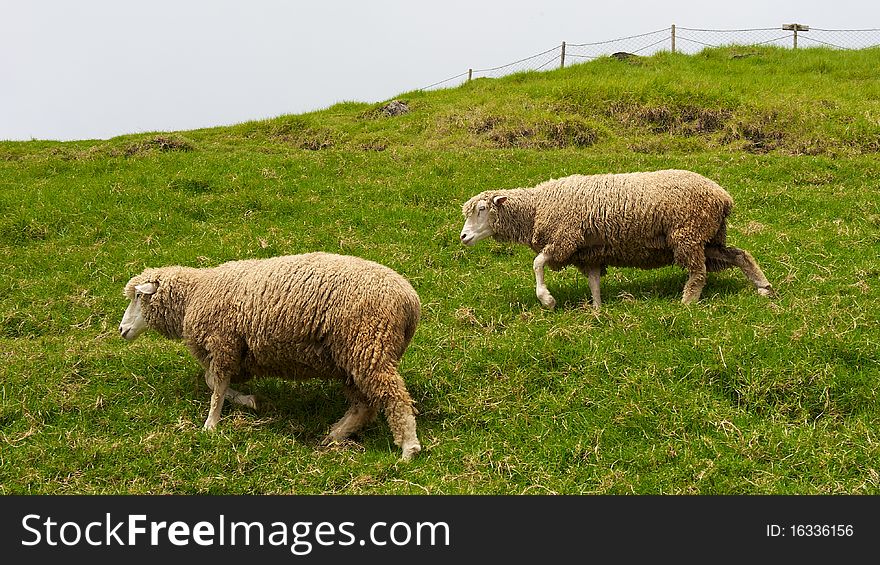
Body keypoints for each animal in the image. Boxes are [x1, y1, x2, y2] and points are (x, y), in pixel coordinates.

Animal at [119, 253, 422, 460]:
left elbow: (216, 387)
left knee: (394, 397)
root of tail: (410, 301)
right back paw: (333, 436)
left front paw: (210, 425)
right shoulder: (234, 351)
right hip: (352, 357)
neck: (195, 293)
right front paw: (249, 401)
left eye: (138, 297)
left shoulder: (223, 343)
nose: (122, 330)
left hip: (369, 345)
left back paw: (409, 448)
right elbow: (212, 381)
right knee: (365, 405)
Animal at [460, 169, 768, 308]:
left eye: (482, 209)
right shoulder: (588, 254)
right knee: (739, 254)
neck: (537, 208)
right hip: (707, 238)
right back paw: (763, 287)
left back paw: (687, 302)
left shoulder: (564, 238)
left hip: (688, 234)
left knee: (699, 272)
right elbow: (594, 283)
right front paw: (597, 311)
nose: (463, 237)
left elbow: (537, 263)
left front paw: (546, 299)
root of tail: (723, 196)